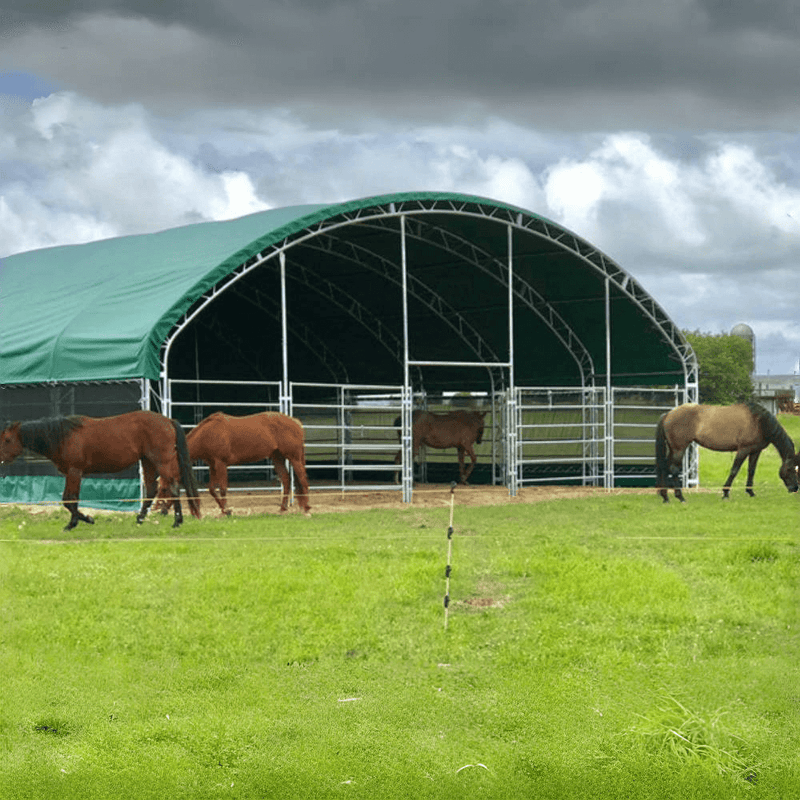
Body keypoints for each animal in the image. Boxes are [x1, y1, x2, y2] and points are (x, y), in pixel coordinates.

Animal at [0, 412, 203, 532]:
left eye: (7, 440)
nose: (0, 459)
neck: (64, 436)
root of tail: (167, 420)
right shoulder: (73, 474)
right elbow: (71, 499)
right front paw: (79, 520)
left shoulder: (74, 471)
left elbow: (69, 499)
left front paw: (80, 521)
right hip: (148, 462)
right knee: (153, 490)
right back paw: (139, 520)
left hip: (161, 461)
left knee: (173, 487)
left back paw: (177, 521)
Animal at [180, 410, 310, 516]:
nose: (195, 514)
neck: (208, 433)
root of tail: (296, 422)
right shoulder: (213, 465)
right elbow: (212, 489)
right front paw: (224, 510)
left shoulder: (221, 464)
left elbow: (222, 488)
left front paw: (226, 511)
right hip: (277, 458)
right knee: (286, 479)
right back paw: (283, 508)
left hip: (294, 458)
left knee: (303, 479)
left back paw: (307, 509)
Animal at [652, 404, 796, 504]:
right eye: (790, 469)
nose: (795, 488)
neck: (758, 421)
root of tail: (668, 414)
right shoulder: (743, 450)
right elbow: (734, 470)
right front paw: (726, 493)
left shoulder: (755, 451)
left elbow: (751, 471)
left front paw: (750, 492)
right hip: (679, 449)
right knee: (674, 469)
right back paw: (680, 497)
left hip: (673, 449)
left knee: (665, 467)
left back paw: (665, 497)